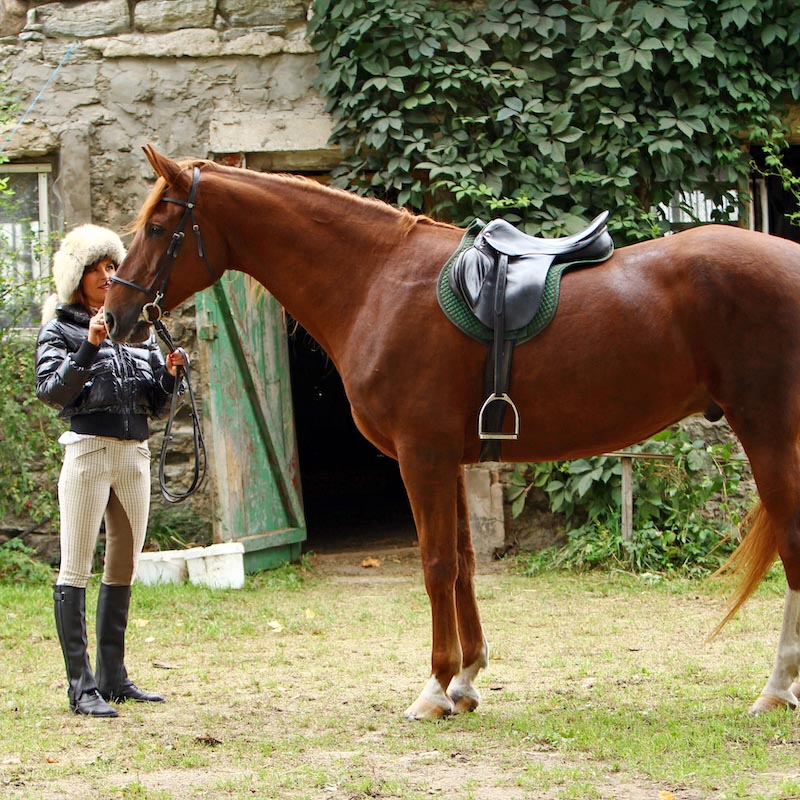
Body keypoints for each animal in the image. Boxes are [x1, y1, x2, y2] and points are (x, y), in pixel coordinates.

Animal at [105, 144, 800, 719]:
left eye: (159, 227)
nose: (113, 317)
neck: (376, 281)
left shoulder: (423, 456)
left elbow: (436, 564)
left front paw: (435, 688)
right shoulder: (453, 459)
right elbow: (464, 564)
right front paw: (466, 681)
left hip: (767, 431)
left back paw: (775, 689)